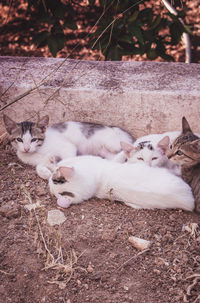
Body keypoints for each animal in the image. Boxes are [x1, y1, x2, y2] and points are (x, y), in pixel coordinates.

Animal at [2, 114, 134, 180]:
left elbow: (65, 161)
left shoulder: (68, 147)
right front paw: (46, 171)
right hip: (105, 153)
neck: (38, 150)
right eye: (19, 139)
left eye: (34, 139)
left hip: (112, 144)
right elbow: (42, 164)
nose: (26, 148)